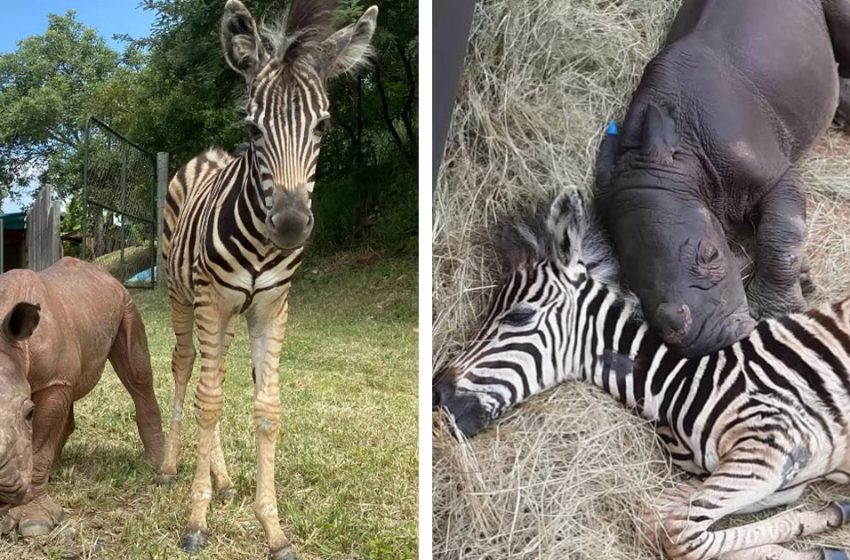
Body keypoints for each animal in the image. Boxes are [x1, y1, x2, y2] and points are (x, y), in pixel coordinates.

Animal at [0, 258, 162, 540]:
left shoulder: (54, 381)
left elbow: (38, 447)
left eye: (28, 413)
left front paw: (34, 523)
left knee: (138, 377)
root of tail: (102, 272)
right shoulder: (56, 379)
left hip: (126, 302)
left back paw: (156, 467)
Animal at [160, 2, 378, 556]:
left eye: (323, 126)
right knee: (187, 370)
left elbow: (267, 408)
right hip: (182, 297)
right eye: (254, 128)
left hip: (226, 315)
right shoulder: (212, 302)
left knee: (211, 376)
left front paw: (272, 527)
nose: (291, 225)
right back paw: (171, 468)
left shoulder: (271, 307)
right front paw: (195, 521)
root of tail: (208, 153)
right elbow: (209, 402)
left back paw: (223, 480)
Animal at [434, 189, 850, 560]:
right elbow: (655, 516)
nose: (437, 395)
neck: (679, 381)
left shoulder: (773, 446)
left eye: (519, 316)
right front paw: (825, 523)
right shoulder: (777, 474)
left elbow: (681, 535)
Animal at [592, 0, 848, 358]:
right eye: (631, 285)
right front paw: (803, 277)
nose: (708, 341)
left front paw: (776, 312)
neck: (684, 160)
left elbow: (780, 234)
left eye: (711, 255)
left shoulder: (775, 175)